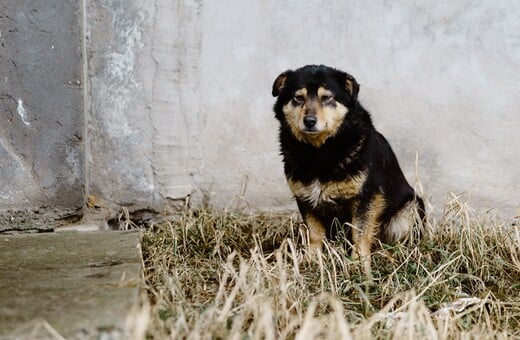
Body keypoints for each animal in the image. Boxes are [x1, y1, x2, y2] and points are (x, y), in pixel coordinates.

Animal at [270, 64, 424, 276]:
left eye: (327, 98)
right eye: (298, 98)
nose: (309, 121)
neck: (319, 151)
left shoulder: (367, 197)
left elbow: (360, 234)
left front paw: (359, 265)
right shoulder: (305, 198)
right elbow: (315, 234)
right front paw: (312, 260)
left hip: (410, 209)